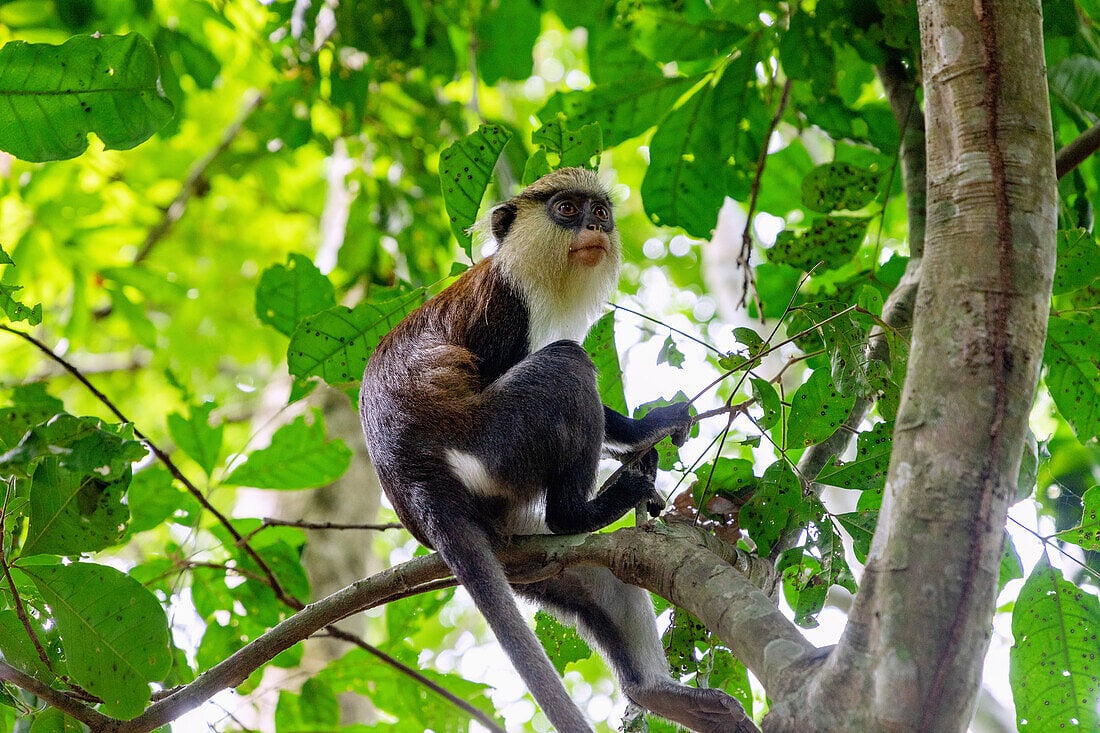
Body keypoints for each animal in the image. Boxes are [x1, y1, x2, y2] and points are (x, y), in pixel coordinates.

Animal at [360, 167, 753, 732]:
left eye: (600, 213)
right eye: (567, 209)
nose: (592, 227)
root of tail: (416, 484)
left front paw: (650, 428)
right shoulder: (505, 306)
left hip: (527, 556)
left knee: (603, 578)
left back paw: (657, 694)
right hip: (497, 445)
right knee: (566, 365)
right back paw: (584, 510)